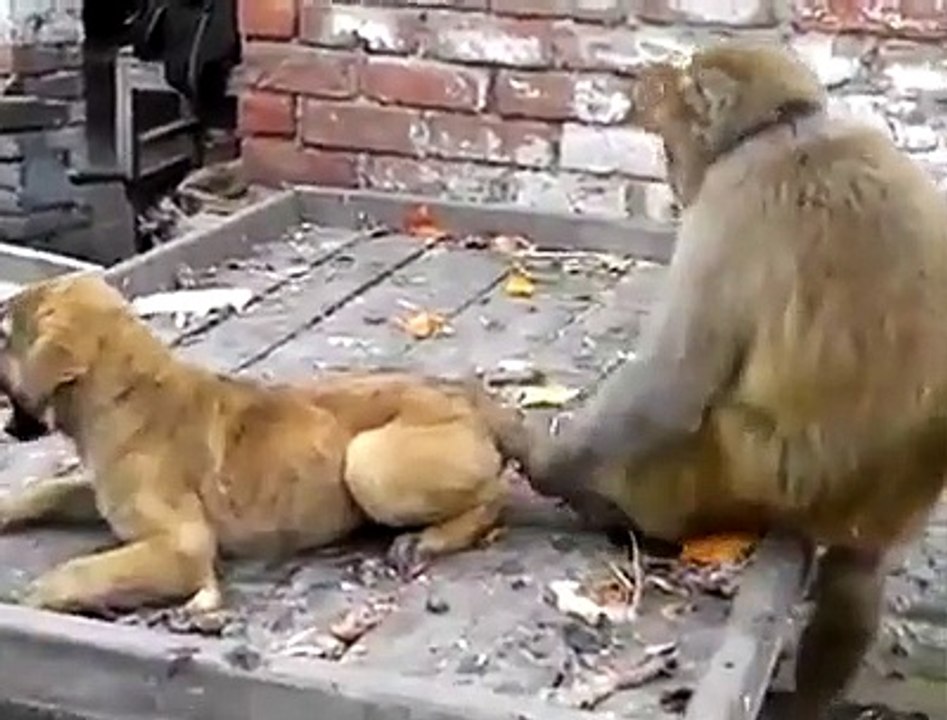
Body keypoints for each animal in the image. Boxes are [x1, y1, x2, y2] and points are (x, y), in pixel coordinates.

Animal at [0, 272, 529, 616]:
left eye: (4, 335)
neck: (126, 393)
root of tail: (468, 397)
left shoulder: (183, 545)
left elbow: (83, 570)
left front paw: (31, 595)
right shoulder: (101, 494)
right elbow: (50, 490)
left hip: (369, 464)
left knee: (495, 496)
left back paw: (429, 538)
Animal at [523, 41, 947, 720]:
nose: (677, 186)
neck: (783, 127)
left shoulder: (729, 200)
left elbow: (671, 387)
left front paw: (546, 463)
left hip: (739, 471)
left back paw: (609, 507)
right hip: (881, 503)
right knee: (857, 574)